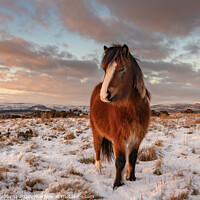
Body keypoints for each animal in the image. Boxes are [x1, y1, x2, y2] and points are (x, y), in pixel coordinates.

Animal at [89, 43, 150, 189]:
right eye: (105, 70)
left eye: (122, 68)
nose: (103, 95)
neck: (132, 109)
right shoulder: (119, 138)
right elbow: (120, 160)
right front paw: (117, 184)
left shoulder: (137, 137)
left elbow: (132, 158)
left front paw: (131, 178)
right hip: (96, 131)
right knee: (97, 149)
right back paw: (98, 169)